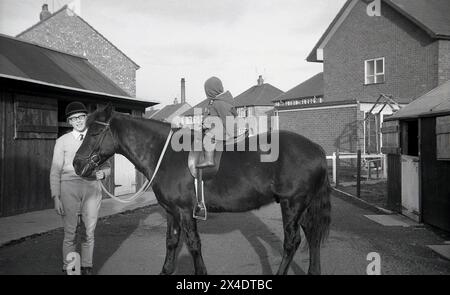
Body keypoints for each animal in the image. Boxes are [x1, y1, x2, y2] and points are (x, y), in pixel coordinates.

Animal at [74, 106, 330, 276]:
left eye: (94, 133)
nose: (76, 163)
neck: (166, 155)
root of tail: (316, 148)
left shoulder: (185, 211)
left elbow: (193, 244)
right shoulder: (172, 212)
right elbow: (171, 242)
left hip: (292, 204)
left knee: (292, 241)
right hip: (302, 206)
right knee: (312, 234)